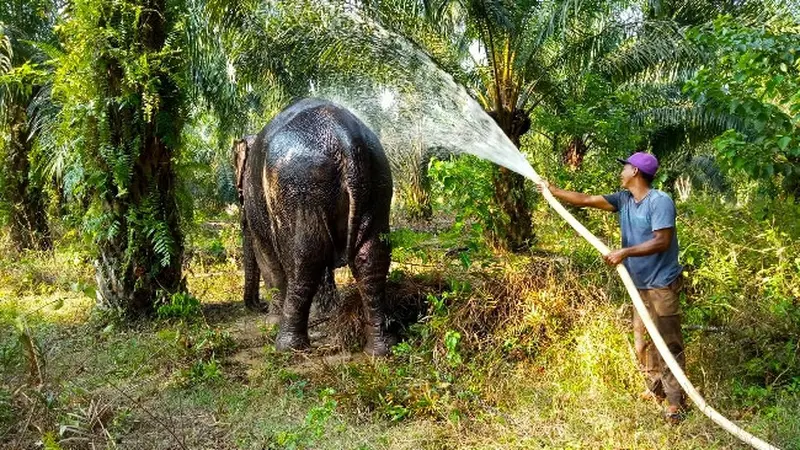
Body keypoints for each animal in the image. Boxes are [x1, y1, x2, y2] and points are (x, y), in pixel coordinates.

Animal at [233, 97, 396, 356]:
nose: (256, 306)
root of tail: (343, 134)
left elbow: (267, 256)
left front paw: (271, 322)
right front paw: (325, 314)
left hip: (301, 186)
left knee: (304, 259)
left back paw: (288, 347)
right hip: (378, 182)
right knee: (371, 257)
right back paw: (381, 349)